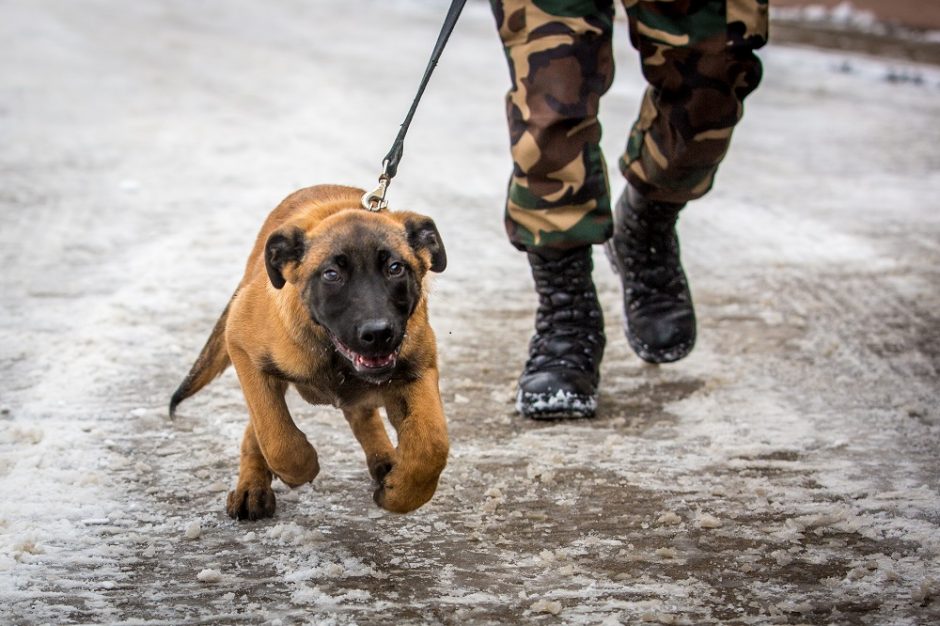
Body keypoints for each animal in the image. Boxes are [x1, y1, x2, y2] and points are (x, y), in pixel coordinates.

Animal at [170, 184, 448, 516]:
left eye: (395, 268)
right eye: (331, 275)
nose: (379, 333)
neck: (333, 356)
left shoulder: (418, 368)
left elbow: (432, 444)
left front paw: (399, 493)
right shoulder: (240, 345)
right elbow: (276, 435)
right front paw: (299, 469)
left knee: (362, 414)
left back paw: (384, 460)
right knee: (256, 430)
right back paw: (252, 489)